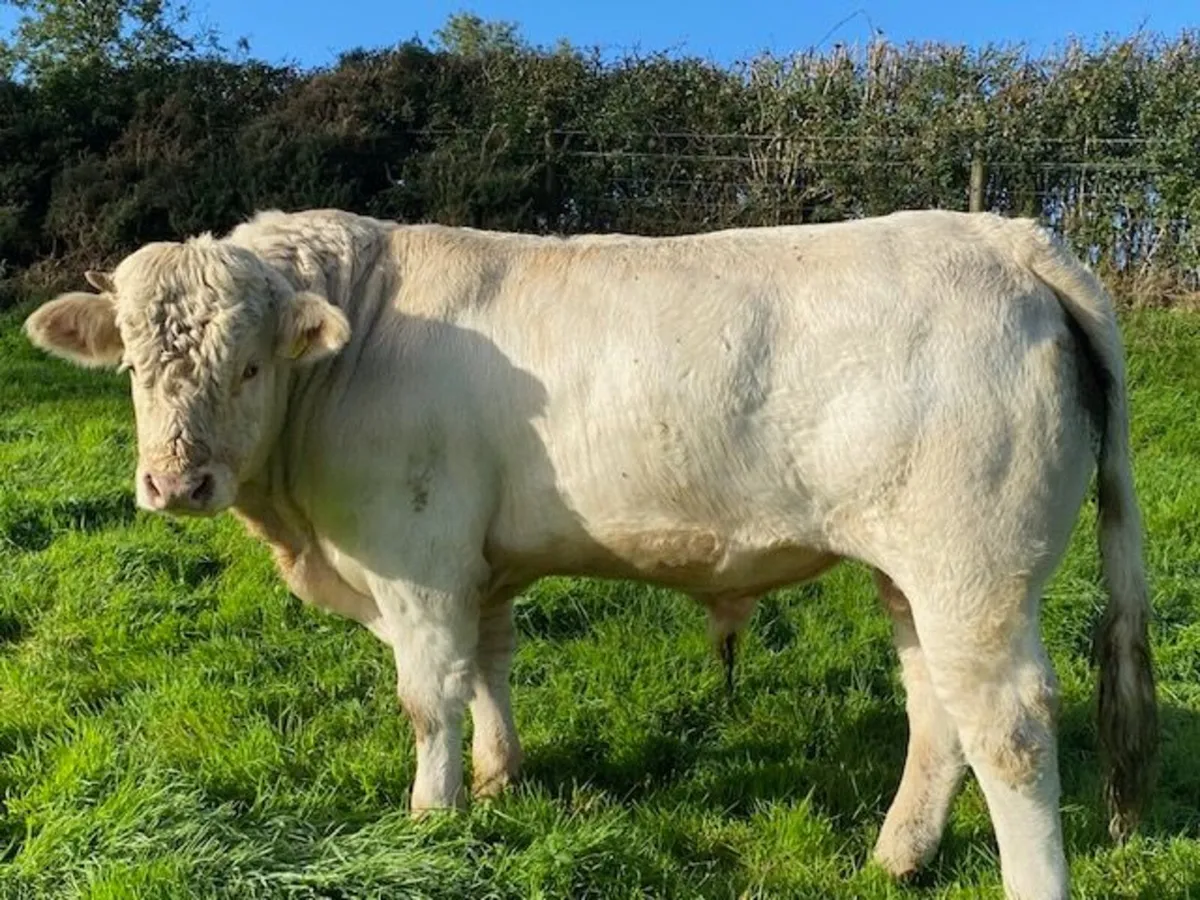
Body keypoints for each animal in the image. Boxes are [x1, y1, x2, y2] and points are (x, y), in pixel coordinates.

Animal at [24, 207, 1157, 900]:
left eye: (251, 364)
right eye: (132, 366)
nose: (176, 484)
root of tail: (1007, 236)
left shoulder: (416, 557)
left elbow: (428, 696)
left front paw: (430, 817)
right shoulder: (481, 564)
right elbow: (488, 672)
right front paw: (497, 782)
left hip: (976, 573)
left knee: (1009, 730)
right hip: (910, 576)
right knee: (937, 713)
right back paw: (896, 855)